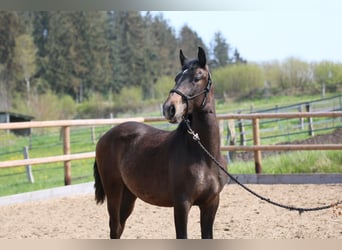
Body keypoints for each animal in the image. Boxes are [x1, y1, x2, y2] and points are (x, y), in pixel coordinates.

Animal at [93, 46, 228, 238]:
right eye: (176, 78)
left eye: (197, 77)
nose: (169, 108)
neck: (204, 155)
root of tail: (104, 138)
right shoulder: (181, 204)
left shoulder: (211, 203)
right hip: (114, 192)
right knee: (114, 227)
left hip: (128, 195)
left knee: (119, 228)